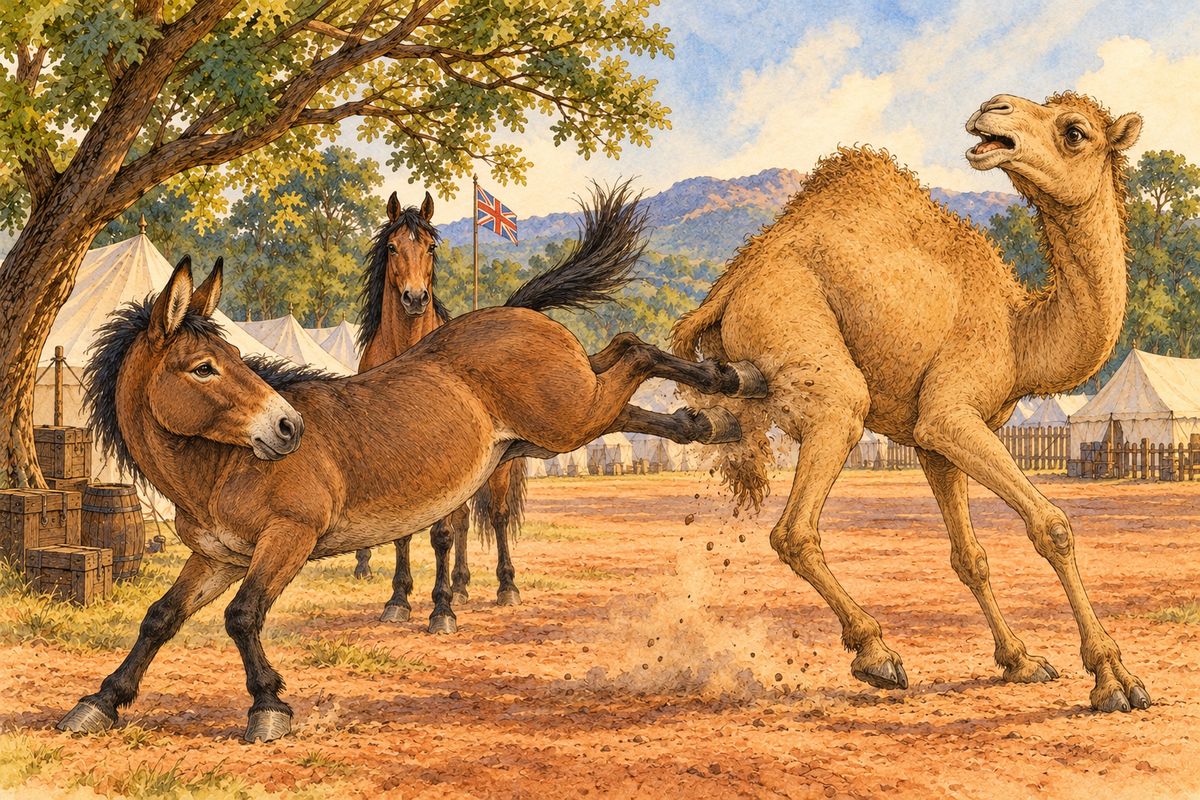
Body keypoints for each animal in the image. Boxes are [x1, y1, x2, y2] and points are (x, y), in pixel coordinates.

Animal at [672, 92, 1149, 713]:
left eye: (1075, 131)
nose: (992, 108)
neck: (1019, 333)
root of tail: (731, 283)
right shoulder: (950, 413)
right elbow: (1053, 526)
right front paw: (1115, 678)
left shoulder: (933, 441)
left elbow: (969, 556)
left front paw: (1021, 661)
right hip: (804, 341)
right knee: (797, 523)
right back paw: (877, 655)